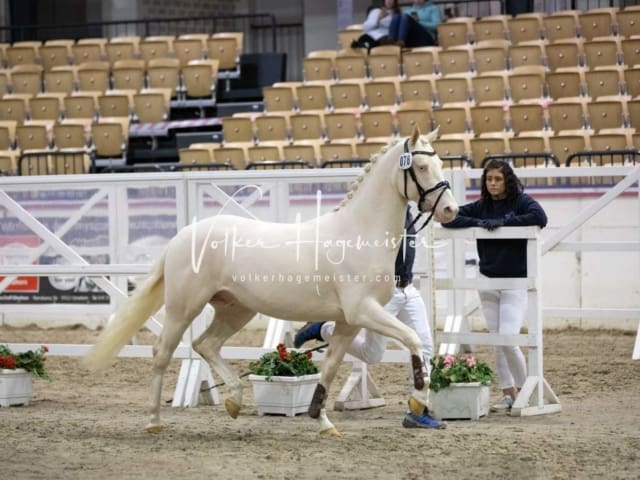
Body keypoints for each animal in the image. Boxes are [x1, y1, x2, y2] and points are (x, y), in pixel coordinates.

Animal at [85, 127, 458, 436]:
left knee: (206, 344)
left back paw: (234, 401)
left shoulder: (348, 322)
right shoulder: (362, 311)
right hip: (183, 307)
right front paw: (417, 398)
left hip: (235, 309)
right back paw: (153, 421)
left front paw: (322, 421)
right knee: (163, 352)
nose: (450, 211)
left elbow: (330, 368)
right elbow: (412, 340)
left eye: (441, 162)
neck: (358, 233)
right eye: (421, 167)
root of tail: (181, 237)